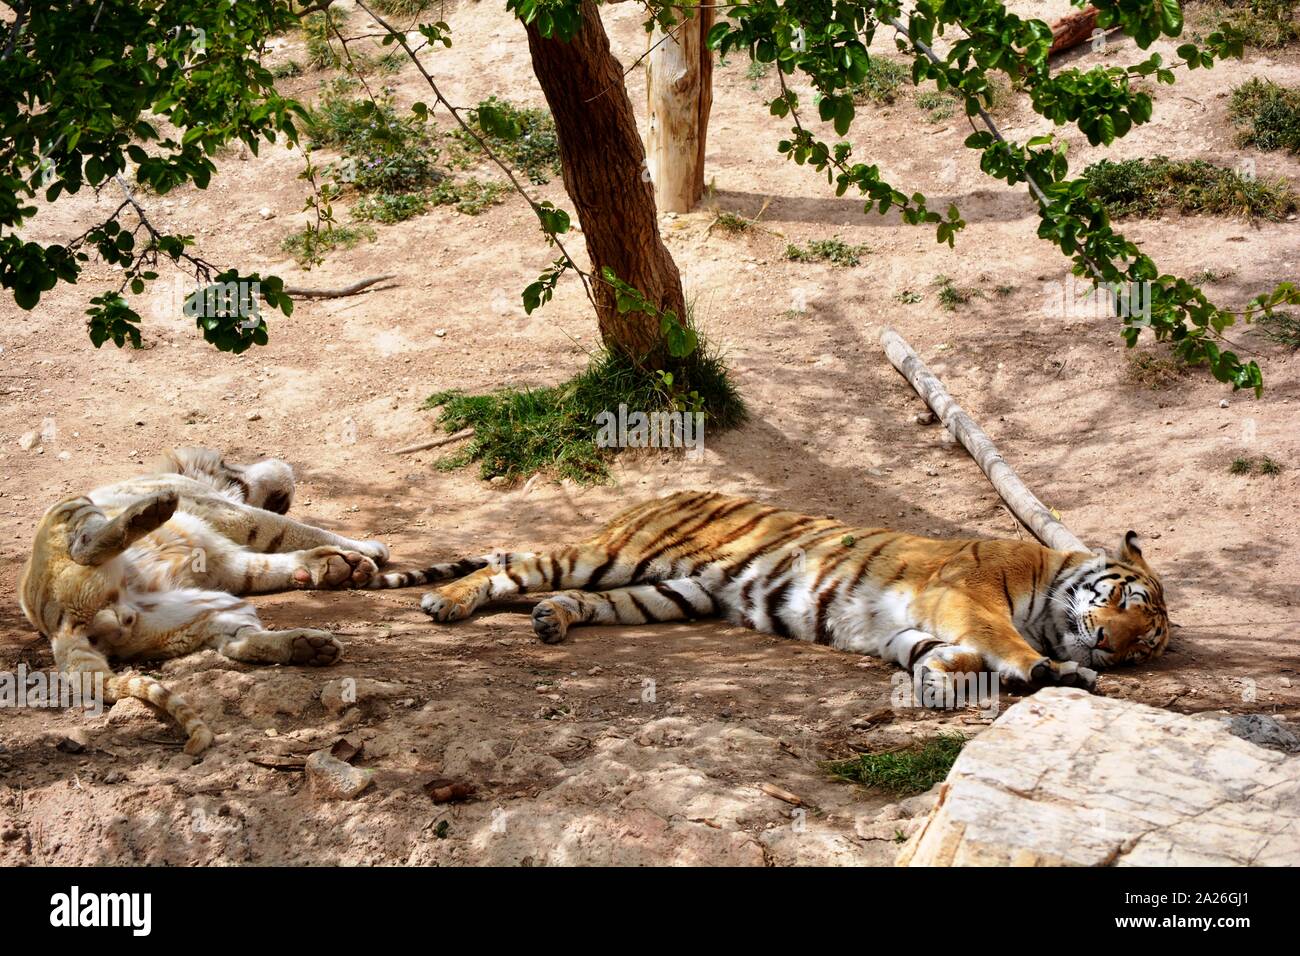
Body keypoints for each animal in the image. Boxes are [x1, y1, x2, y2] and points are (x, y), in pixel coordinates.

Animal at [17, 447, 486, 754]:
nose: (283, 476)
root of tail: (62, 629)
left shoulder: (226, 560)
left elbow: (270, 560)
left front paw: (336, 567)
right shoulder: (232, 516)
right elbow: (294, 529)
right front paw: (364, 550)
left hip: (196, 612)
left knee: (235, 643)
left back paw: (309, 646)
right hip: (69, 508)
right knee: (87, 544)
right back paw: (149, 511)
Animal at [423, 494, 1170, 686]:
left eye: (1143, 645)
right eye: (1122, 605)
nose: (1109, 646)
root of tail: (662, 493)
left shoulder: (905, 626)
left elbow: (932, 652)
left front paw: (939, 675)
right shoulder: (966, 596)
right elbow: (1001, 640)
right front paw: (1053, 671)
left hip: (670, 591)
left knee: (573, 597)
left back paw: (551, 620)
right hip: (615, 555)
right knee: (514, 563)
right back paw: (445, 603)